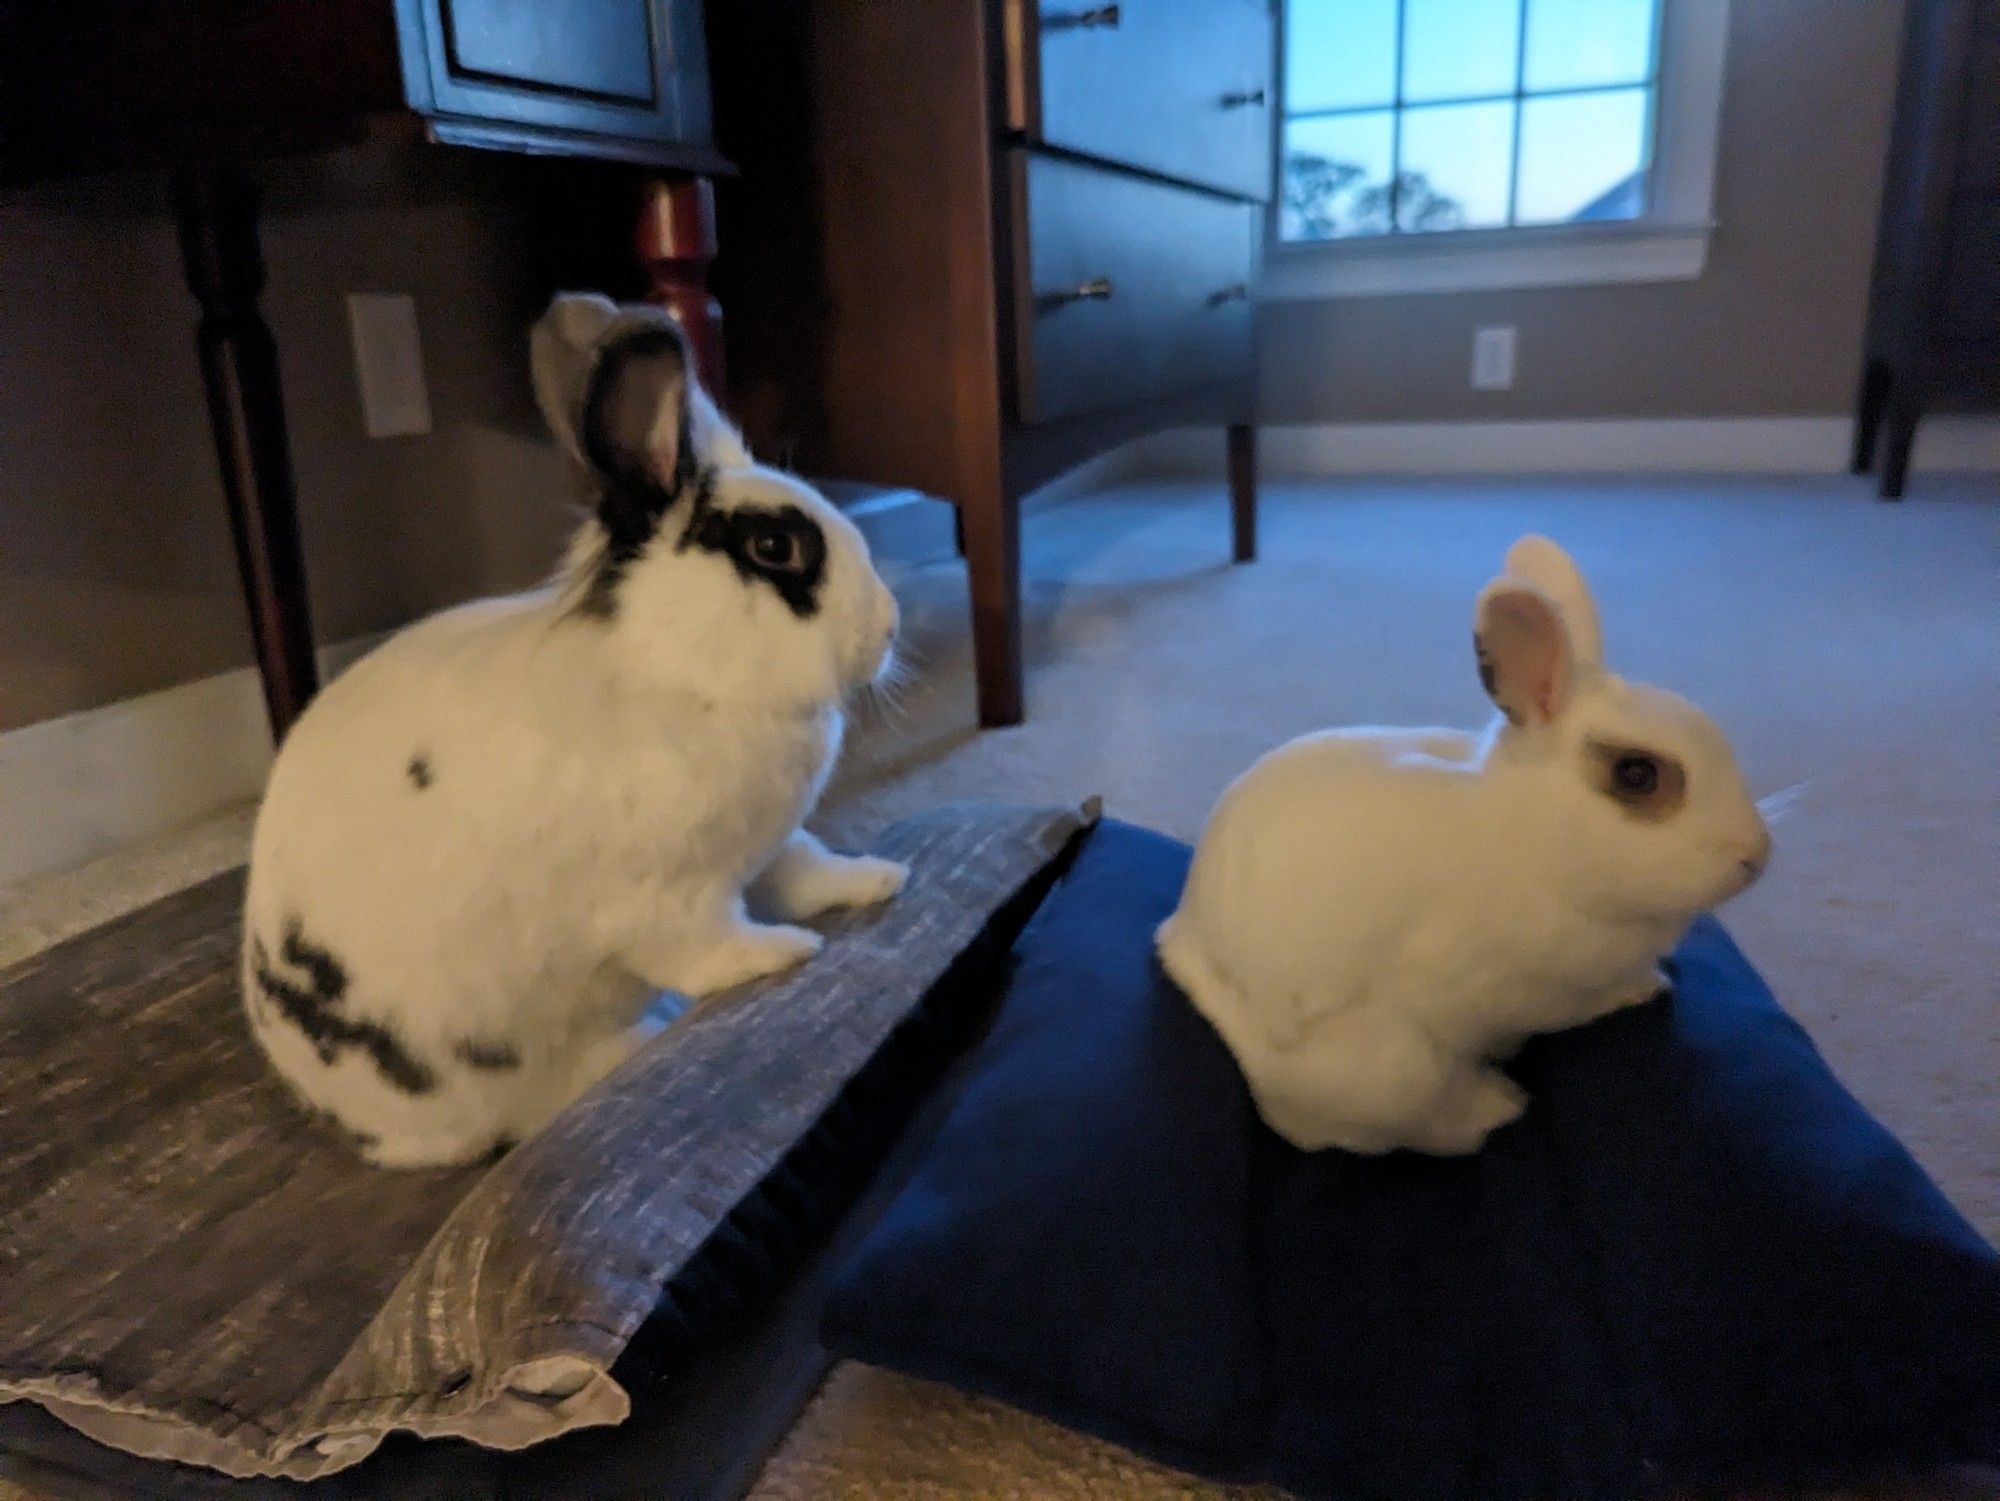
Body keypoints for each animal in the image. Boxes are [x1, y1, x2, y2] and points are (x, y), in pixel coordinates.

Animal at [242, 288, 908, 1168]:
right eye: (775, 546)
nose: (890, 627)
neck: (675, 671)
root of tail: (358, 1122)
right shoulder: (665, 900)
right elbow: (707, 947)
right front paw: (783, 953)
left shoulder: (767, 848)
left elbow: (806, 869)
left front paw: (878, 878)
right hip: (515, 1061)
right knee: (560, 1095)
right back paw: (648, 1037)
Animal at [1160, 540, 1768, 1160]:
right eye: (1637, 774)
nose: (1756, 856)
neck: (1533, 844)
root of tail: (1183, 946)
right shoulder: (1530, 993)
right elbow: (1580, 1003)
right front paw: (1647, 986)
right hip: (1397, 1074)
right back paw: (1496, 1107)